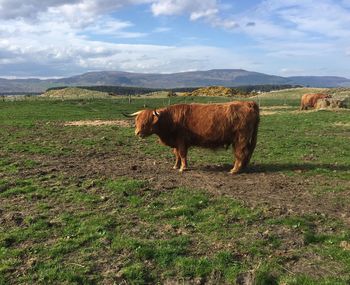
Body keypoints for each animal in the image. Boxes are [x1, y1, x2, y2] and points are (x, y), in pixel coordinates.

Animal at [126, 102, 260, 173]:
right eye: (137, 121)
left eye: (146, 122)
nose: (137, 132)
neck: (170, 119)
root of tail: (249, 103)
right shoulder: (176, 142)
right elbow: (177, 154)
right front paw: (176, 166)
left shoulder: (181, 141)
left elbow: (182, 154)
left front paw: (183, 168)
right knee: (247, 153)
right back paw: (243, 168)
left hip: (240, 139)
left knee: (240, 153)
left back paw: (234, 170)